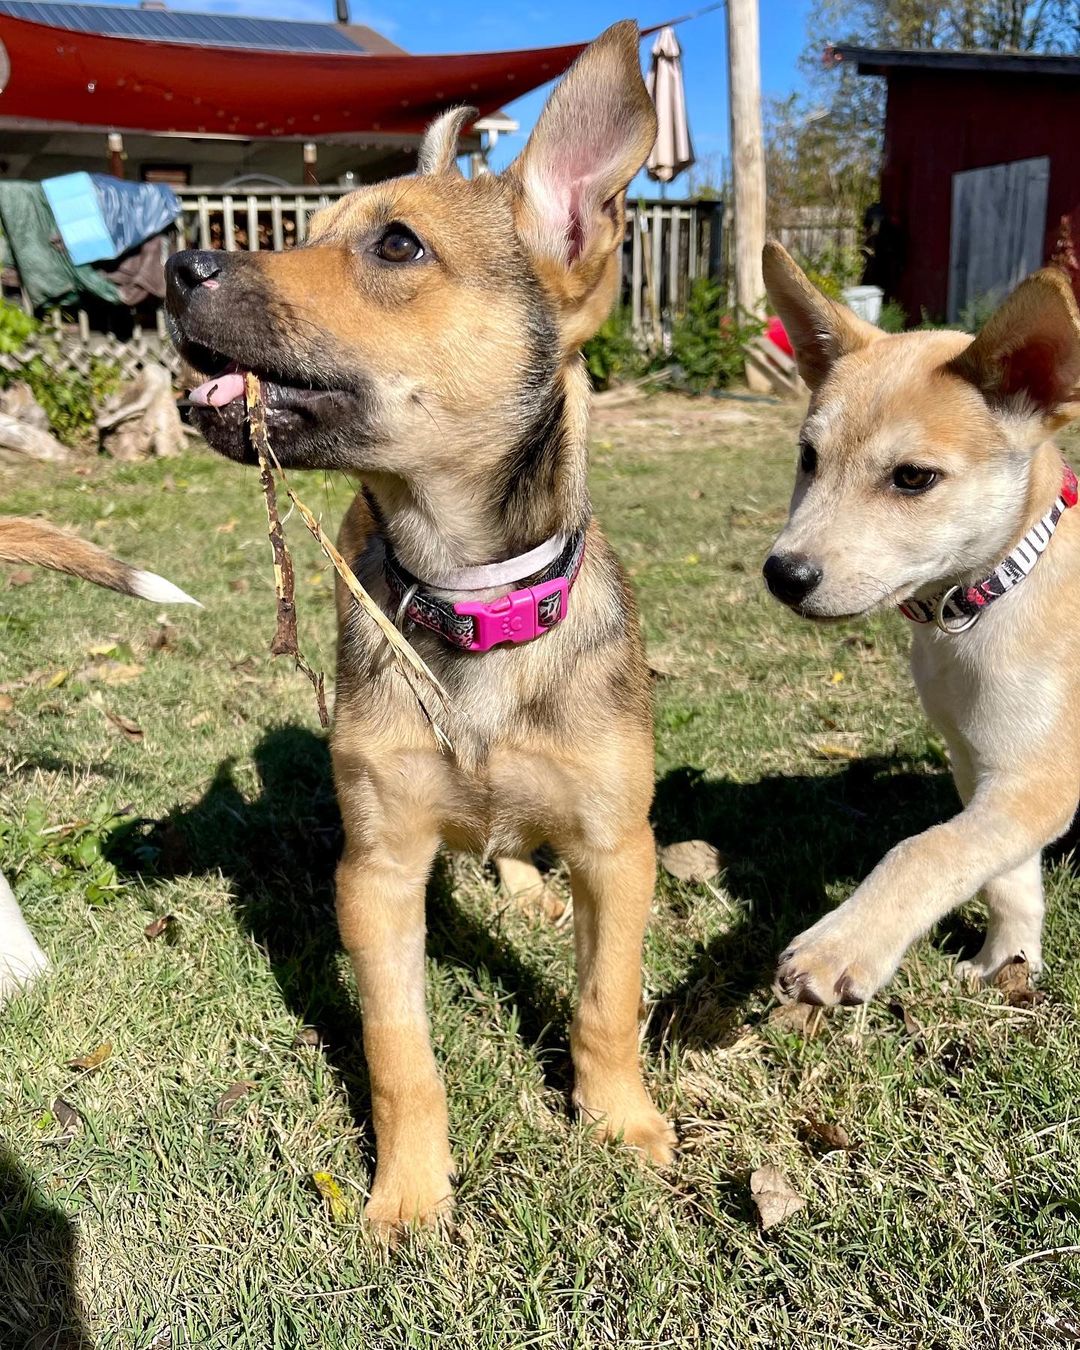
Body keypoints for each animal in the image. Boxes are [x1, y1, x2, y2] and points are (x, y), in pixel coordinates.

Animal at [166, 21, 675, 1231]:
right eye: (305, 230)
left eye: (397, 247)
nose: (177, 265)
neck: (471, 604)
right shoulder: (379, 869)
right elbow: (399, 1050)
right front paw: (407, 1194)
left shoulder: (618, 845)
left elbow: (605, 1000)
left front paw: (620, 1122)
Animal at [761, 240, 1080, 1004]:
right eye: (808, 458)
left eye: (913, 478)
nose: (784, 575)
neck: (982, 606)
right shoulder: (979, 761)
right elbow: (1001, 873)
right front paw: (1009, 960)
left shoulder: (1045, 776)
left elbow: (925, 849)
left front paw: (846, 941)